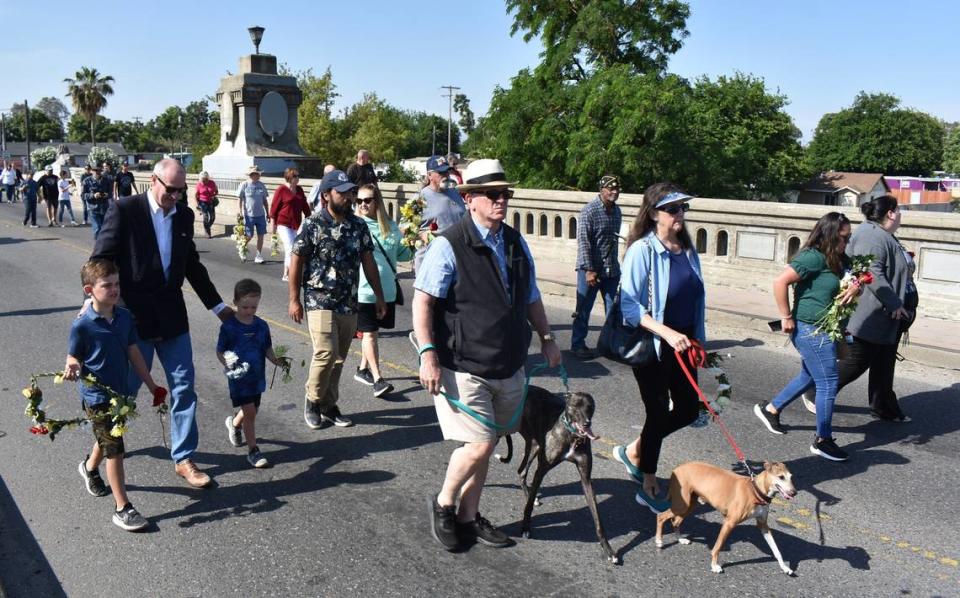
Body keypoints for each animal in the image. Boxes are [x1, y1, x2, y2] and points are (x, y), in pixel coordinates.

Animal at [656, 464, 800, 576]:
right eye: (781, 477)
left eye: (791, 477)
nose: (794, 493)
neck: (755, 491)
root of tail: (678, 468)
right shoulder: (729, 523)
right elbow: (717, 547)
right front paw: (714, 566)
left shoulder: (763, 525)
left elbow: (776, 550)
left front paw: (785, 568)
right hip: (682, 504)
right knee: (661, 516)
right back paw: (659, 541)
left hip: (690, 504)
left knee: (675, 521)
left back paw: (680, 539)